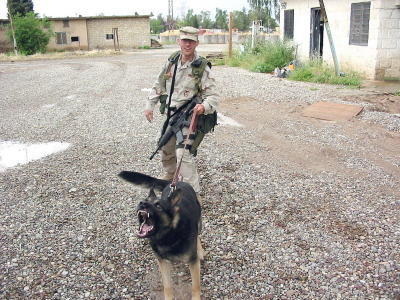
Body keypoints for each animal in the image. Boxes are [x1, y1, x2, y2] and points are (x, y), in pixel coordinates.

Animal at [117, 171, 202, 300]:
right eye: (145, 200)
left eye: (158, 206)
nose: (142, 203)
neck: (168, 235)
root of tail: (177, 182)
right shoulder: (163, 262)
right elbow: (167, 285)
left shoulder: (193, 262)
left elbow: (195, 286)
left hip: (199, 219)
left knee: (198, 234)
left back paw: (200, 250)